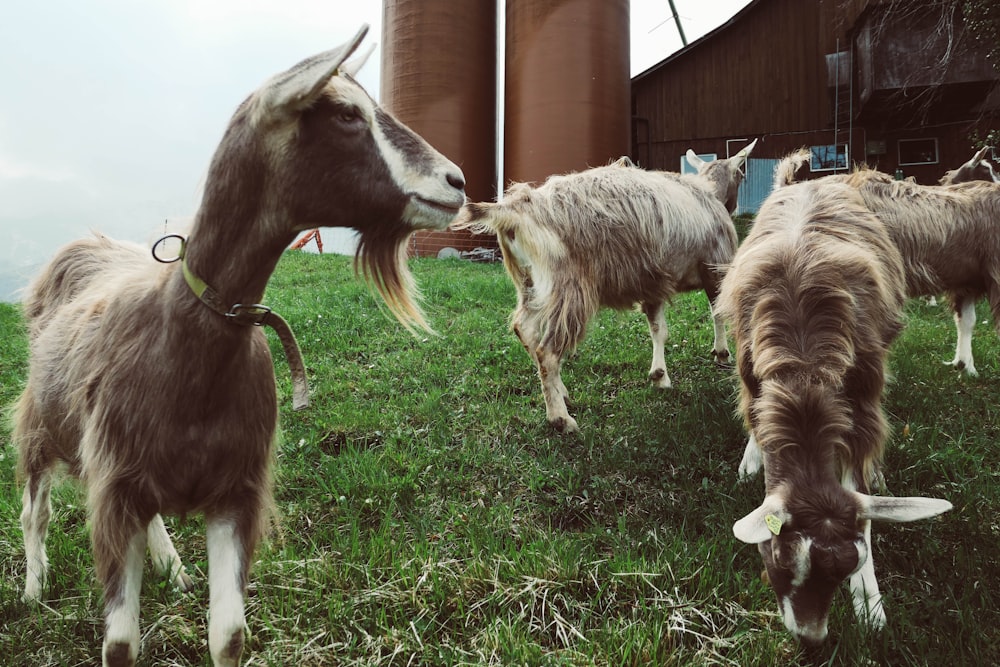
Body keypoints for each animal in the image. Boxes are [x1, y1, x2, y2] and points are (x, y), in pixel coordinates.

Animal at [11, 23, 464, 664]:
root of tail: (82, 244)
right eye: (346, 114)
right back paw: (33, 587)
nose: (457, 182)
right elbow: (120, 643)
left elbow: (229, 635)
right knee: (35, 507)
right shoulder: (117, 489)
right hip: (40, 418)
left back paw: (173, 568)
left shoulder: (230, 490)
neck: (187, 345)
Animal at [450, 141, 752, 434]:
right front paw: (721, 353)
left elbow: (658, 328)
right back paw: (560, 419)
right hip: (570, 286)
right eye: (742, 174)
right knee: (547, 352)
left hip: (532, 285)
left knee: (524, 328)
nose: (737, 207)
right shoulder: (715, 266)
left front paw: (659, 376)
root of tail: (520, 210)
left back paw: (561, 392)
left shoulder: (653, 282)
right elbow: (717, 311)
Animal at [716, 177, 956, 648]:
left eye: (852, 564)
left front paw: (870, 606)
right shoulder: (751, 368)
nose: (810, 638)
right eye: (781, 560)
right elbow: (754, 413)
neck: (805, 368)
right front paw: (752, 459)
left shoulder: (862, 394)